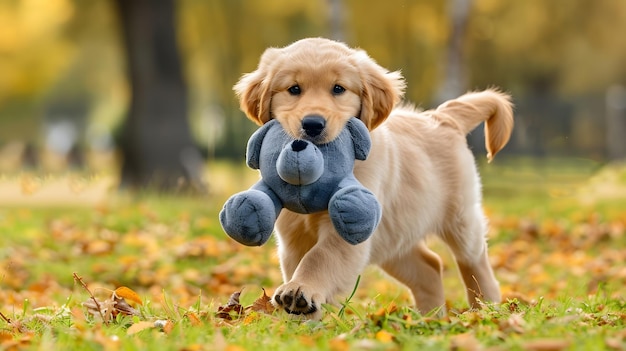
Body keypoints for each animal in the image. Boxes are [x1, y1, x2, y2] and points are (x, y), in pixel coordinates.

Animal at [232, 37, 510, 320]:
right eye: (294, 89)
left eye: (338, 89)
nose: (312, 124)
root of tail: (441, 117)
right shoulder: (293, 233)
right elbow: (299, 262)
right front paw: (304, 318)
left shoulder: (349, 223)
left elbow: (320, 257)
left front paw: (301, 290)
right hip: (393, 235)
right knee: (430, 267)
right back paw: (429, 317)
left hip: (460, 218)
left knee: (474, 260)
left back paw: (486, 308)